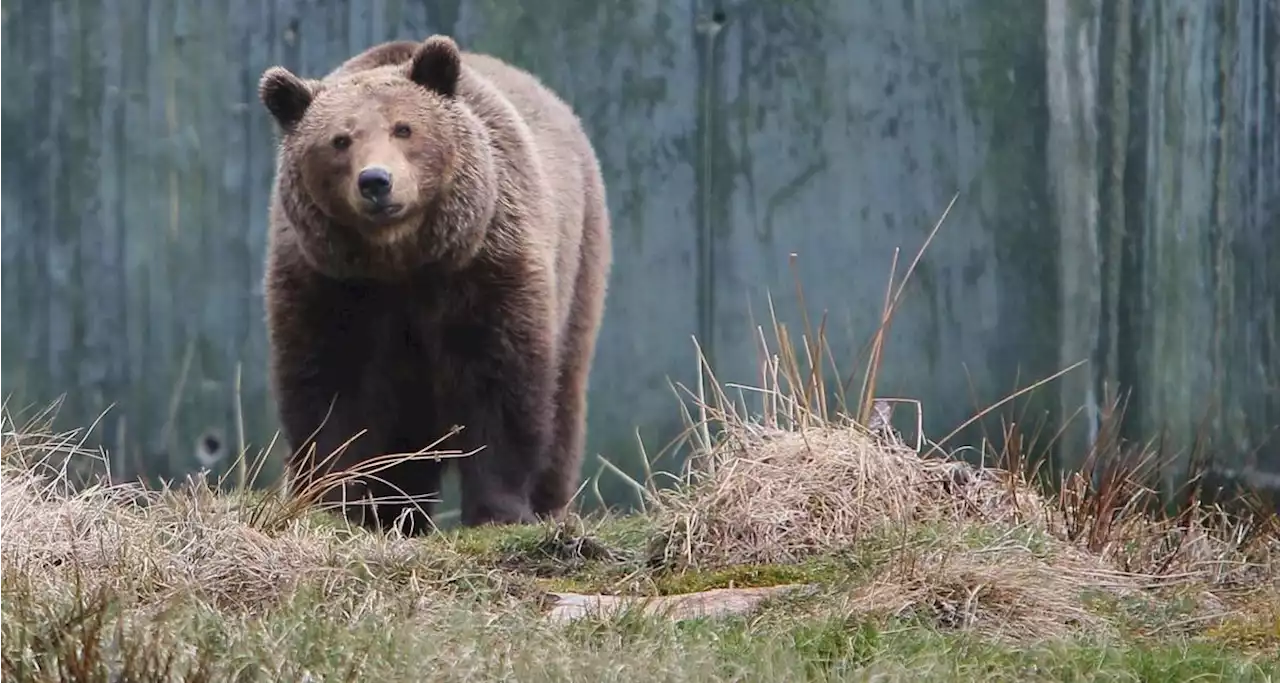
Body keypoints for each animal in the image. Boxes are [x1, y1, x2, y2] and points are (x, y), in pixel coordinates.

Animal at [257, 34, 611, 532]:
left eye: (403, 129)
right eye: (340, 140)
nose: (376, 181)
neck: (401, 261)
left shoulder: (485, 269)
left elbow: (500, 385)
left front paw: (498, 510)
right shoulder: (330, 286)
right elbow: (329, 389)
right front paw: (336, 502)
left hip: (579, 260)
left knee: (563, 400)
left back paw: (550, 504)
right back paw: (397, 513)